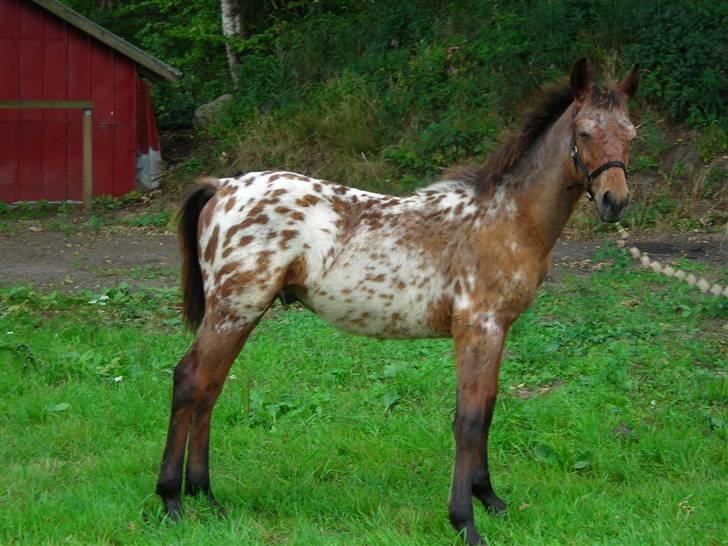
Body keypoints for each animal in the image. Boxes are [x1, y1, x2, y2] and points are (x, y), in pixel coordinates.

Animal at [158, 57, 636, 540]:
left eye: (631, 134)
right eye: (585, 133)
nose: (614, 201)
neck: (506, 219)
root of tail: (223, 185)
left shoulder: (498, 329)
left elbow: (487, 408)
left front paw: (490, 500)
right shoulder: (477, 327)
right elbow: (468, 420)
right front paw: (464, 521)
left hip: (239, 312)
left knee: (210, 386)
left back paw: (206, 496)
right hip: (235, 309)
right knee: (191, 380)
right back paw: (172, 501)